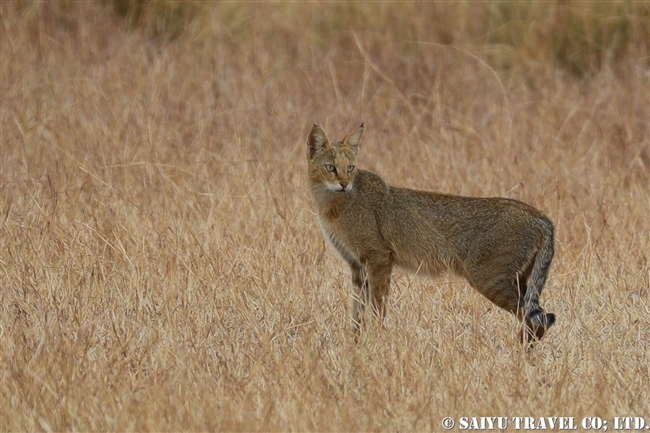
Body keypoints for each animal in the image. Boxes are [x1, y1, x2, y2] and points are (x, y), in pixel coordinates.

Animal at [306, 123, 556, 342]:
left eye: (350, 168)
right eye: (331, 168)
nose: (344, 183)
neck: (332, 204)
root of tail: (541, 216)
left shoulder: (378, 258)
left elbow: (377, 306)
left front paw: (375, 341)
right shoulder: (357, 266)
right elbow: (357, 312)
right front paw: (355, 344)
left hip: (490, 280)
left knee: (538, 319)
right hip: (519, 282)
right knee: (538, 318)